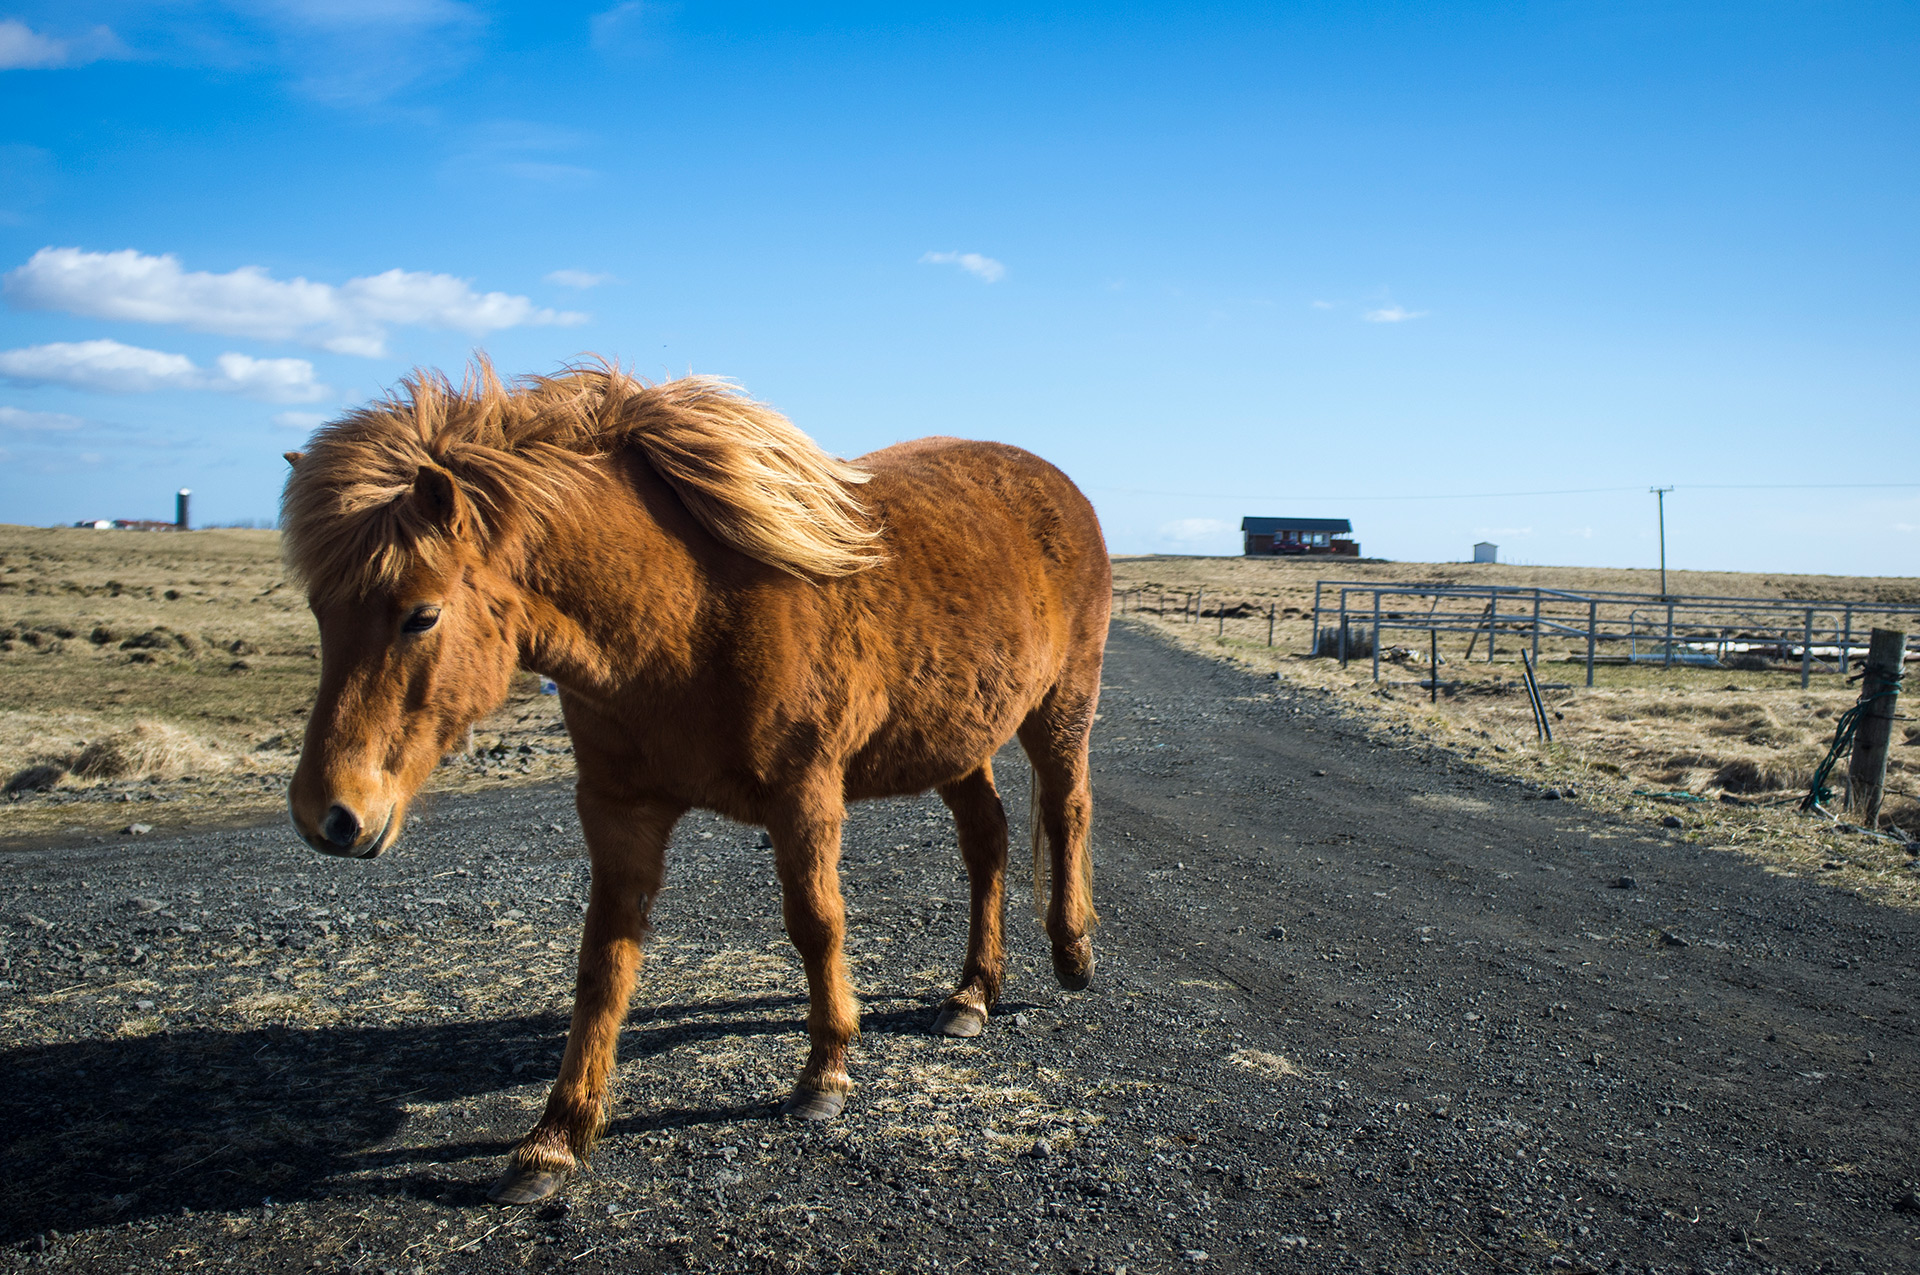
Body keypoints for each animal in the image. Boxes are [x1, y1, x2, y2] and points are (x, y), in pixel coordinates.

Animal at [276, 360, 1105, 1205]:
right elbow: (603, 963)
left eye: (421, 614)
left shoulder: (804, 797)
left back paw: (1071, 952)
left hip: (1060, 706)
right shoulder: (619, 812)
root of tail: (1058, 486)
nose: (327, 813)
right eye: (320, 612)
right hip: (957, 736)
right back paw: (972, 992)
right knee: (987, 839)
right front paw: (555, 1136)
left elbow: (817, 924)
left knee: (1066, 808)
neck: (687, 614)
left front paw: (825, 1072)